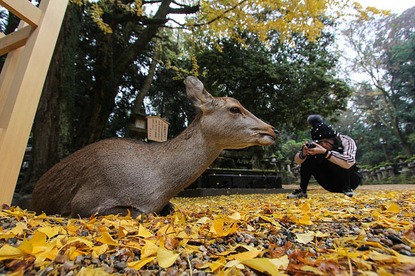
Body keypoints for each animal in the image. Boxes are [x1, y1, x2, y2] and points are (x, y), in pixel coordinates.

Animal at [31, 76, 280, 218]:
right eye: (235, 108)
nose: (273, 130)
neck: (156, 188)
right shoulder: (86, 199)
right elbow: (138, 213)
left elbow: (170, 208)